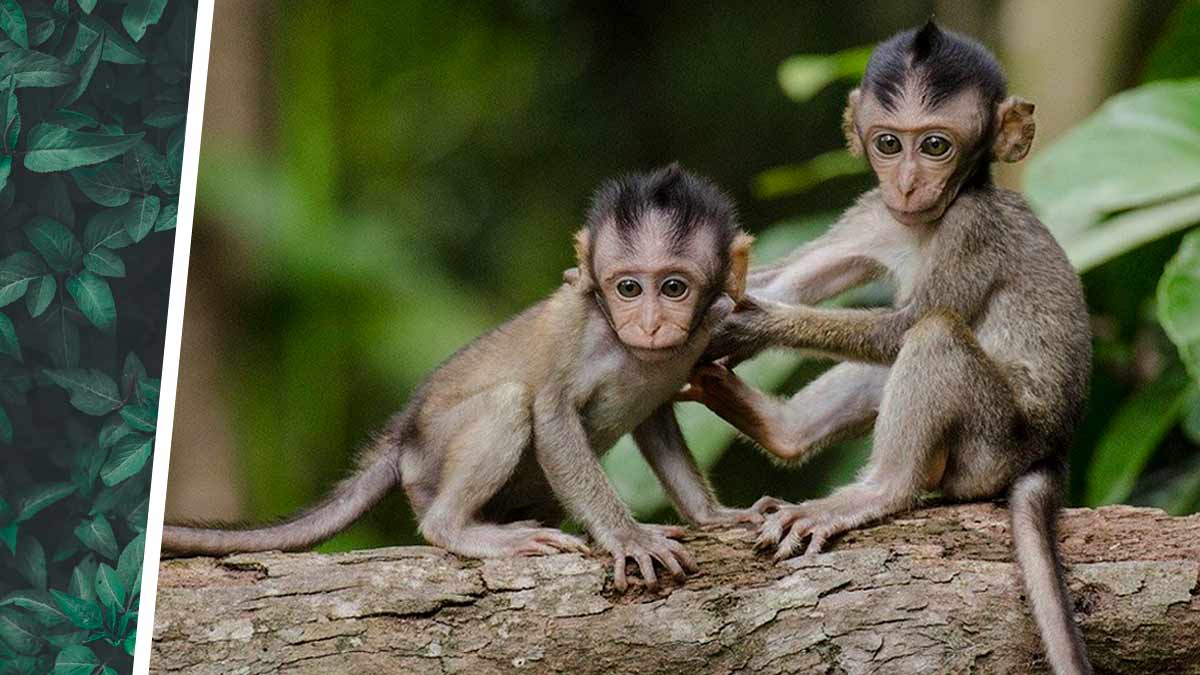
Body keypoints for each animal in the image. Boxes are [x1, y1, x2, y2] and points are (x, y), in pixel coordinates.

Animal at [163, 163, 758, 588]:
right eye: (629, 288)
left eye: (674, 288)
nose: (650, 324)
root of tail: (404, 435)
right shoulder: (579, 329)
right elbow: (551, 414)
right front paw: (627, 537)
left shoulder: (704, 328)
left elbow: (656, 419)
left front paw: (713, 516)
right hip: (431, 460)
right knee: (508, 404)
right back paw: (460, 528)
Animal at [681, 21, 1094, 672]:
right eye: (889, 144)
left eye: (937, 146)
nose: (907, 182)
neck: (926, 222)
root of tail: (1050, 451)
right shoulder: (875, 213)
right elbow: (792, 279)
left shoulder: (972, 227)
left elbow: (907, 326)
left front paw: (751, 324)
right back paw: (781, 429)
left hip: (991, 445)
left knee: (934, 336)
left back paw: (877, 491)